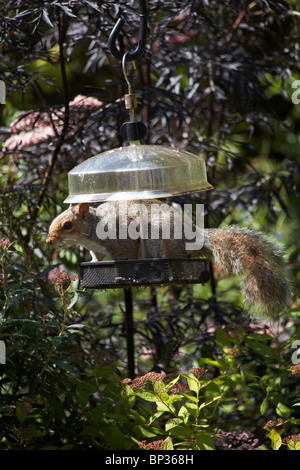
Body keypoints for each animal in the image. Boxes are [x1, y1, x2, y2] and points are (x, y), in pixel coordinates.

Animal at [46, 200, 290, 318]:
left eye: (67, 225)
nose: (49, 241)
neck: (92, 231)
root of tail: (195, 238)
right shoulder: (97, 250)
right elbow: (97, 258)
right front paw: (94, 265)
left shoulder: (122, 242)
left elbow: (125, 258)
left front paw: (123, 275)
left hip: (158, 236)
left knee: (172, 259)